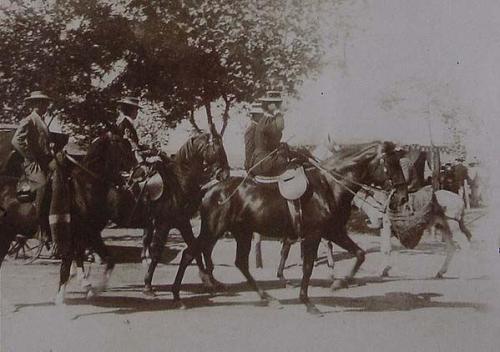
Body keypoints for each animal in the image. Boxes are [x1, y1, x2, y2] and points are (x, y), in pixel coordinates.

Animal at [106, 129, 231, 294]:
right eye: (217, 147)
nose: (225, 174)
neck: (178, 181)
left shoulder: (182, 222)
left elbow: (194, 248)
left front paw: (209, 280)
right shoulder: (163, 225)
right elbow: (157, 253)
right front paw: (148, 285)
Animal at [170, 140, 408, 314]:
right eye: (391, 163)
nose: (403, 197)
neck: (329, 186)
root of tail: (210, 189)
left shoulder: (333, 232)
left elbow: (359, 254)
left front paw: (340, 282)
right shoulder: (314, 235)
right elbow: (308, 267)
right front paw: (308, 302)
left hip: (242, 233)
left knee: (240, 263)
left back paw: (268, 298)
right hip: (213, 230)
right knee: (189, 253)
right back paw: (178, 297)